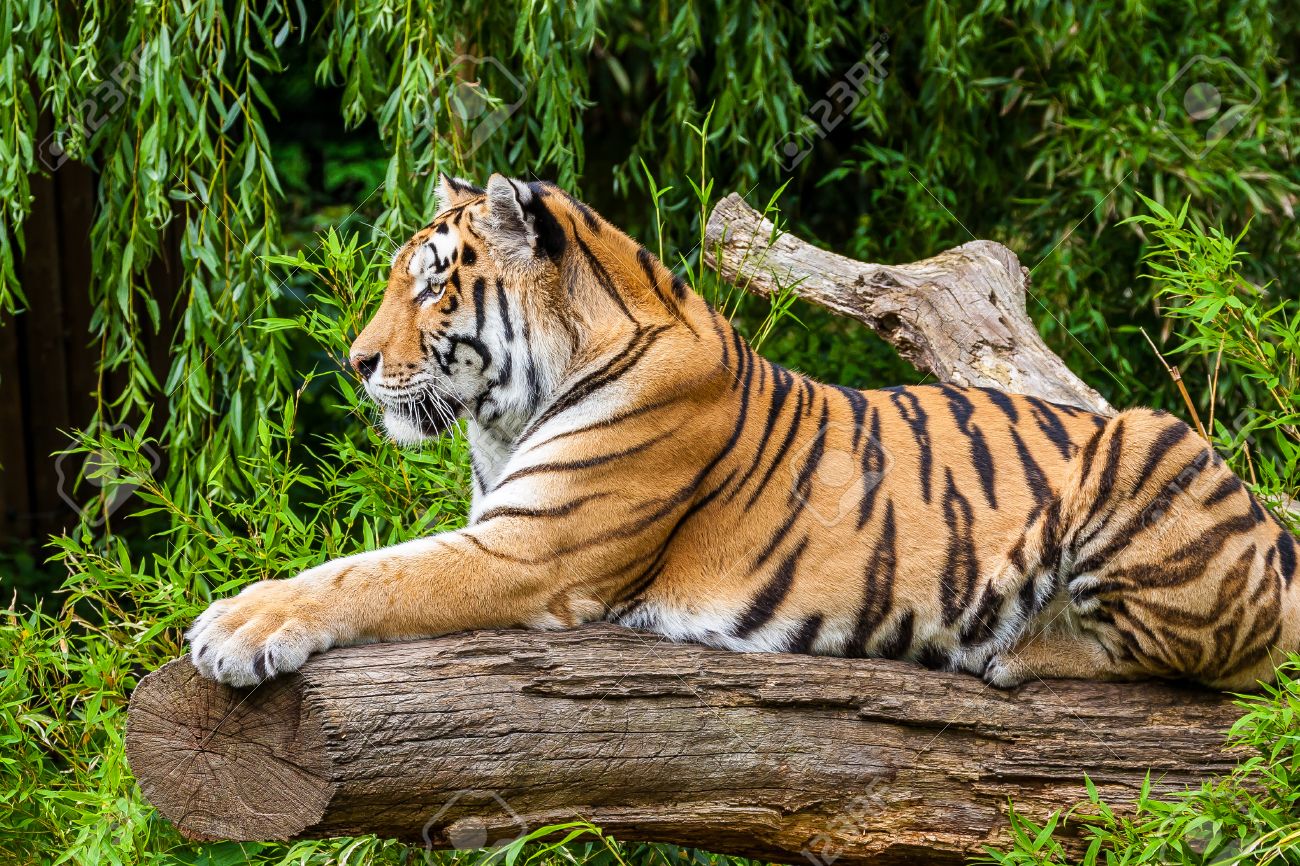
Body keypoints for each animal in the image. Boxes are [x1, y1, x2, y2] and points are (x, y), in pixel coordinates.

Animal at [188, 172, 1300, 692]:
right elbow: (371, 564)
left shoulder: (529, 552)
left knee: (1206, 663)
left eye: (430, 284)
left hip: (1146, 448)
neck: (506, 417)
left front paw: (234, 625)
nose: (354, 362)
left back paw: (1016, 651)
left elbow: (369, 574)